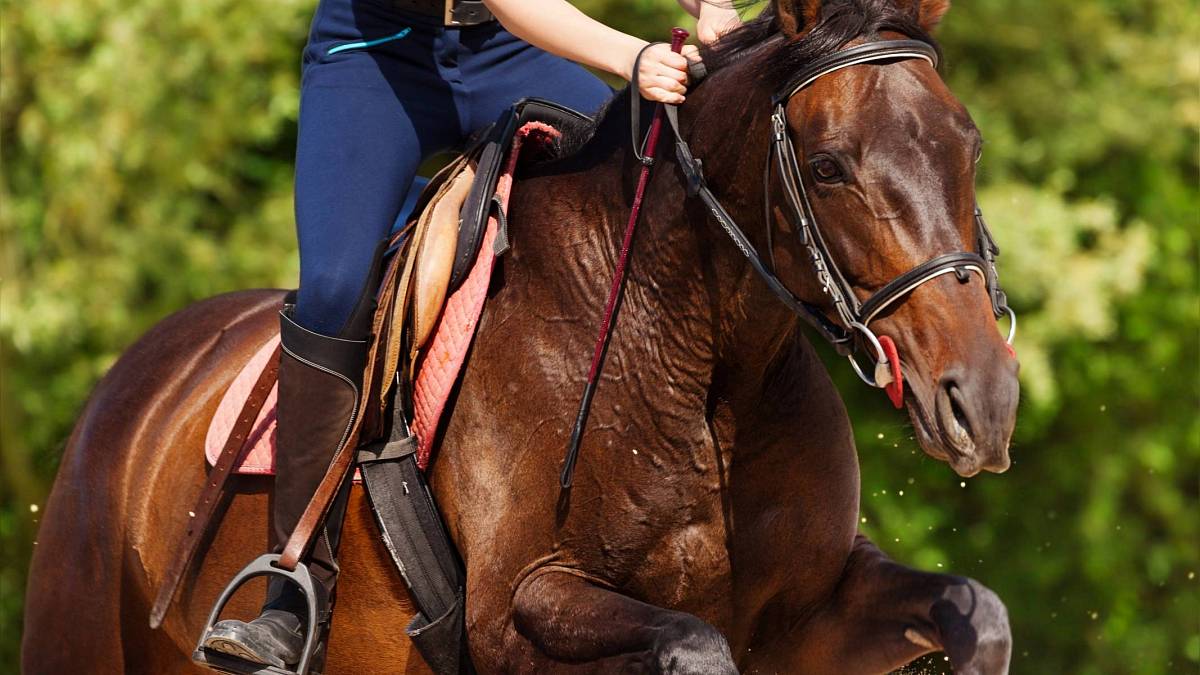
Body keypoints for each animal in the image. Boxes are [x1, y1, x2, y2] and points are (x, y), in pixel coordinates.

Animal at [21, 2, 1012, 667]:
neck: (699, 363)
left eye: (969, 146)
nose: (985, 400)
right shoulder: (516, 610)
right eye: (829, 166)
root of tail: (142, 375)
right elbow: (692, 643)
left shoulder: (813, 616)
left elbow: (980, 613)